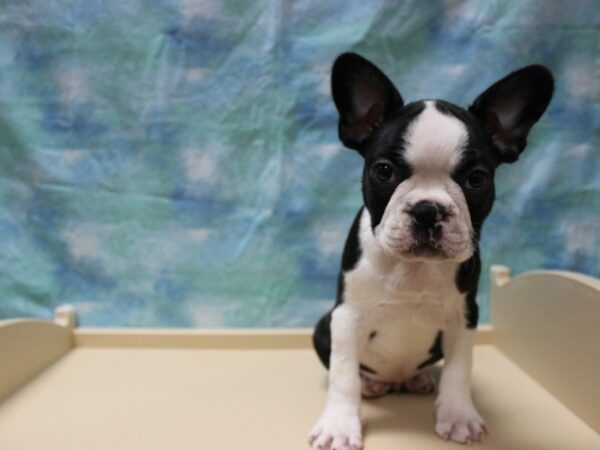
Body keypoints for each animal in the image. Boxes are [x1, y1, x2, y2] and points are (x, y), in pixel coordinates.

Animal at [310, 53, 552, 450]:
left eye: (477, 178)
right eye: (384, 171)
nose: (428, 209)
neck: (415, 268)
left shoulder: (463, 317)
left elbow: (458, 371)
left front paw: (459, 417)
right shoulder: (347, 318)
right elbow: (344, 375)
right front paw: (340, 426)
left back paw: (418, 380)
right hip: (323, 329)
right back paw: (374, 384)